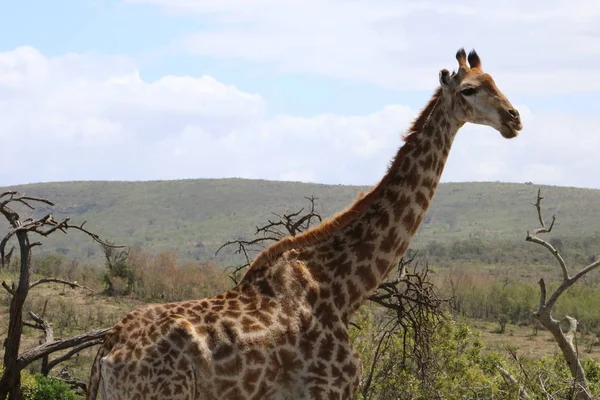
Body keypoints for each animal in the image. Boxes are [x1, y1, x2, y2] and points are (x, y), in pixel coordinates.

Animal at [86, 49, 524, 400]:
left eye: (497, 83)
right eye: (469, 90)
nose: (514, 119)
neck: (343, 287)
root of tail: (107, 352)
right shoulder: (329, 388)